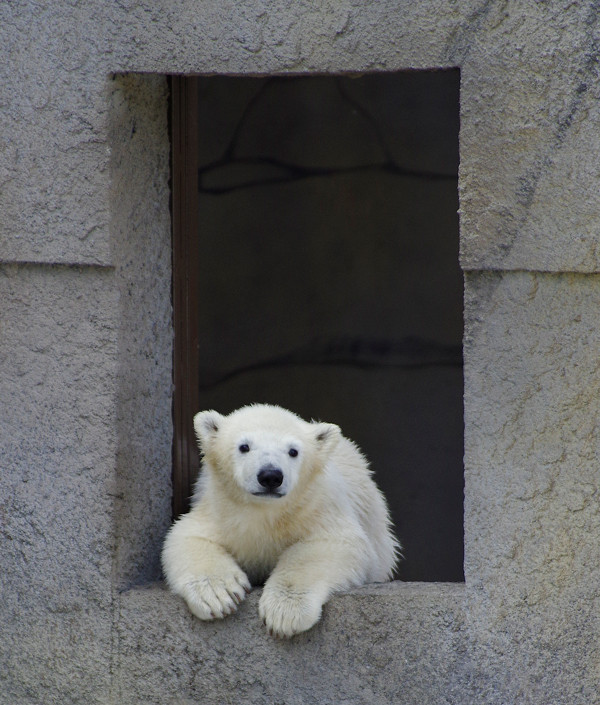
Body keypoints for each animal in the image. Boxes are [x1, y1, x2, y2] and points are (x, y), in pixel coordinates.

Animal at [162, 402, 400, 640]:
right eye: (244, 446)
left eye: (293, 451)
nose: (270, 476)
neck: (266, 511)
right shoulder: (218, 510)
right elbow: (188, 536)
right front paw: (220, 595)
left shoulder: (317, 507)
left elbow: (332, 543)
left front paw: (286, 613)